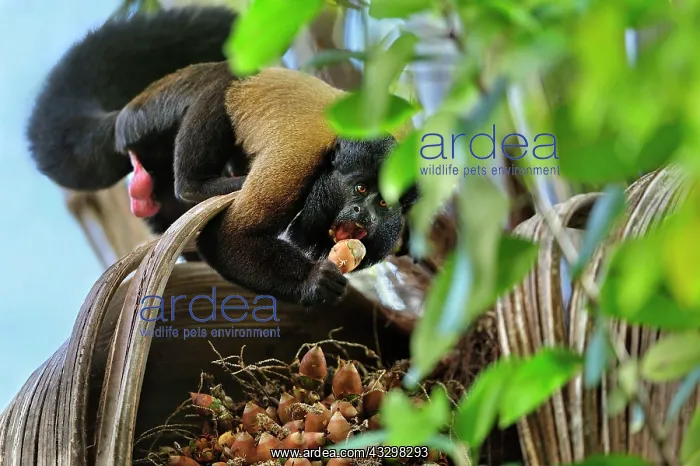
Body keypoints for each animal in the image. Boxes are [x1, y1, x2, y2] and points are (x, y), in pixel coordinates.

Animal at [26, 6, 418, 307]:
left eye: (383, 203)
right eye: (360, 190)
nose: (363, 214)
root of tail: (127, 110)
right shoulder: (295, 164)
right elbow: (227, 238)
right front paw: (313, 281)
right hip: (152, 115)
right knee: (222, 83)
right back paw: (201, 184)